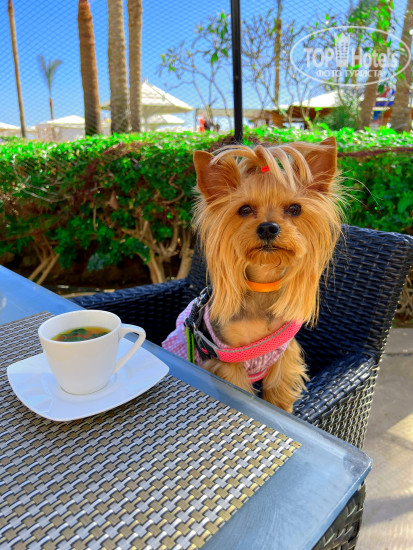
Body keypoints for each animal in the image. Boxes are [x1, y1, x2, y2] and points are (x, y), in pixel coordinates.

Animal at [163, 137, 343, 412]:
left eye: (295, 209)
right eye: (244, 209)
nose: (268, 227)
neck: (263, 283)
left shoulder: (283, 357)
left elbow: (278, 393)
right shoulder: (227, 361)